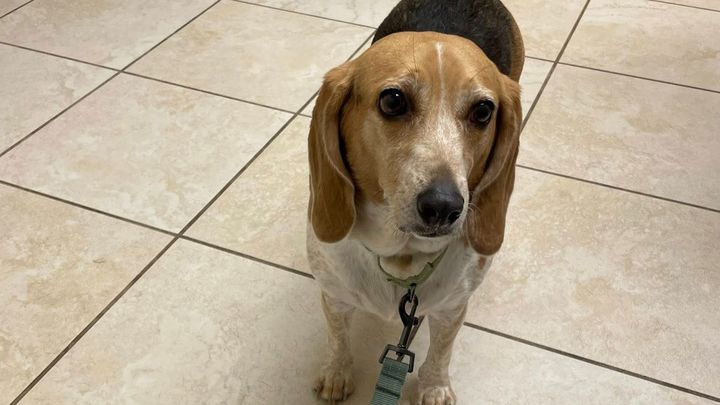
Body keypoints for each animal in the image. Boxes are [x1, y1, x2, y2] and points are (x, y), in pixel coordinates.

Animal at [307, 0, 524, 403]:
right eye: (393, 100)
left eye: (483, 111)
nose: (444, 206)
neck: (400, 258)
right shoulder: (335, 294)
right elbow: (338, 338)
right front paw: (336, 372)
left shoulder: (452, 307)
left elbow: (441, 351)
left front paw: (435, 386)